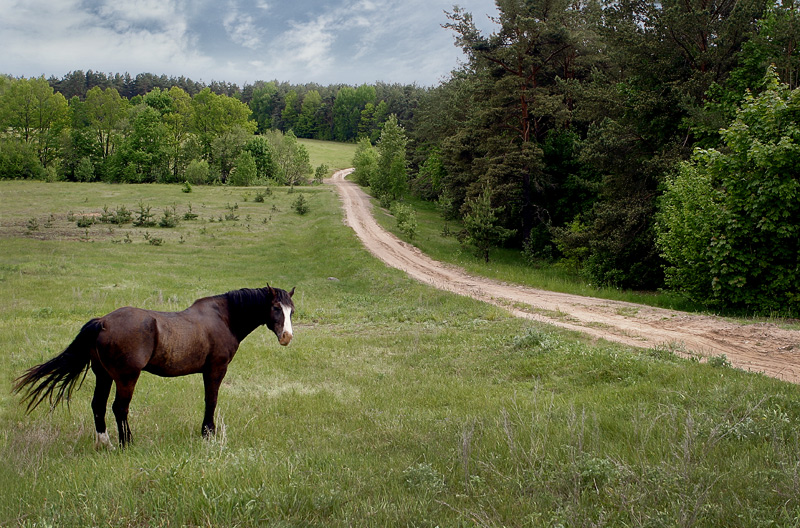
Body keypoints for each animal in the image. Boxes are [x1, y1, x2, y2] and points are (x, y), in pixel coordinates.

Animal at [13, 285, 295, 449]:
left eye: (292, 311)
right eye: (274, 307)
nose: (287, 337)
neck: (224, 317)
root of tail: (103, 322)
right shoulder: (216, 369)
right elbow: (211, 400)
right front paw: (208, 433)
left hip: (103, 375)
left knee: (98, 406)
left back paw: (105, 443)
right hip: (126, 377)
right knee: (119, 408)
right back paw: (127, 443)